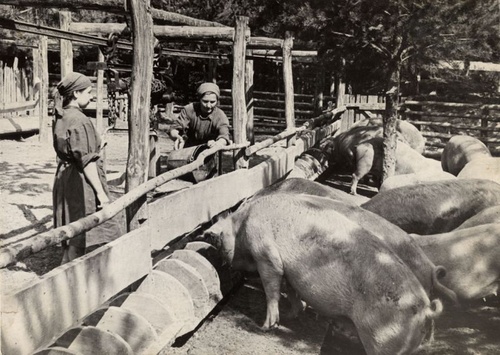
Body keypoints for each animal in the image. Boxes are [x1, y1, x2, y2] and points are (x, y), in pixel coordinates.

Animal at [205, 195, 444, 355]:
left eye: (219, 238)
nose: (209, 233)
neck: (243, 223)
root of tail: (425, 309)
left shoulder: (265, 252)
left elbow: (272, 286)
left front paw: (264, 327)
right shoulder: (291, 273)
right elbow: (292, 291)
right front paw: (292, 315)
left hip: (384, 340)